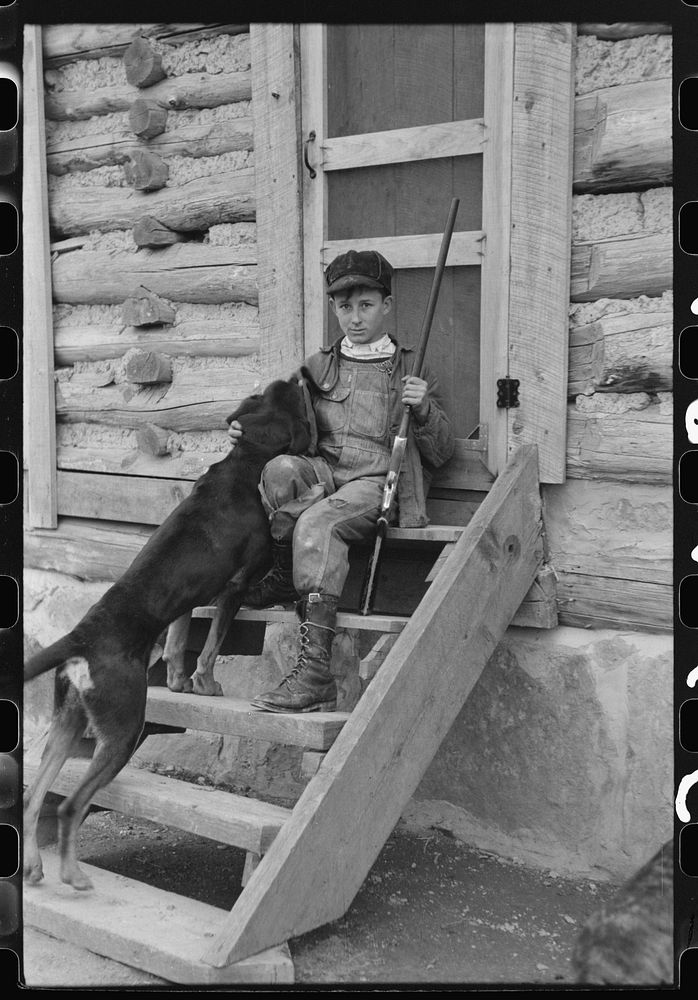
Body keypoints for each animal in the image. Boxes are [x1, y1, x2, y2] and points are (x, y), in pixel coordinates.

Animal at [23, 376, 310, 892]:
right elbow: (211, 647)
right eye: (294, 400)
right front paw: (208, 685)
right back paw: (73, 876)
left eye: (267, 391)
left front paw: (179, 682)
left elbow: (179, 641)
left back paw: (37, 868)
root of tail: (82, 638)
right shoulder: (234, 587)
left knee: (36, 799)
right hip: (121, 729)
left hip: (67, 721)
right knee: (71, 805)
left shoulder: (190, 598)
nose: (299, 373)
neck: (241, 465)